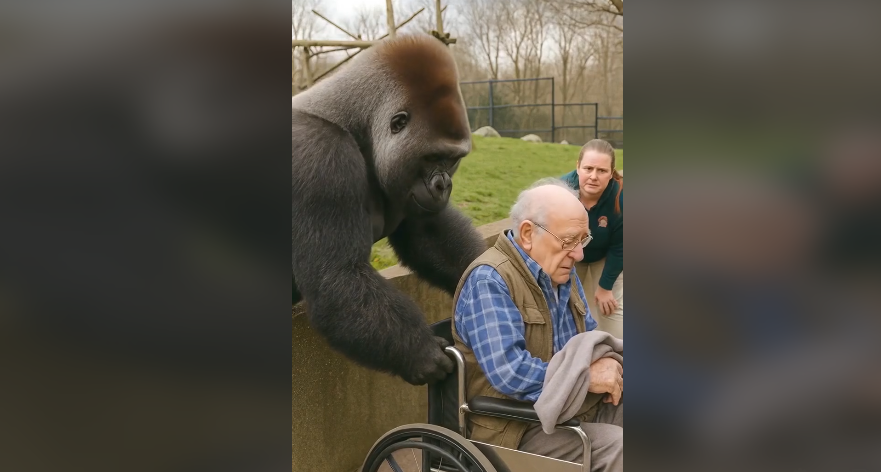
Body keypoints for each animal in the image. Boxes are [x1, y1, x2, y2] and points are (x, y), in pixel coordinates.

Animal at [291, 34, 486, 385]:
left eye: (452, 159)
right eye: (433, 157)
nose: (443, 186)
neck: (354, 123)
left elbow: (429, 234)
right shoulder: (319, 155)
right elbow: (337, 276)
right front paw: (419, 350)